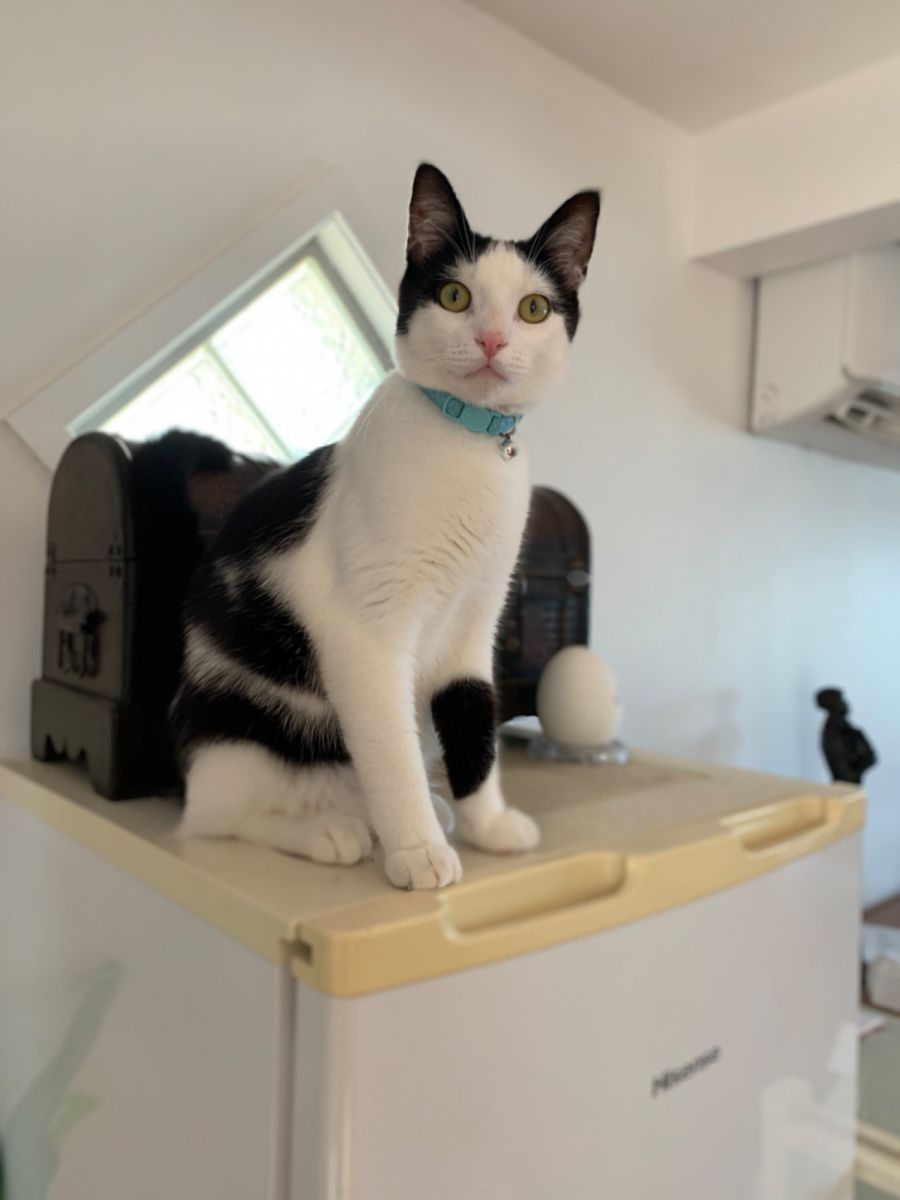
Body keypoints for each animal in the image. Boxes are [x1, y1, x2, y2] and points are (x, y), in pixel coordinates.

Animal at [172, 163, 600, 890]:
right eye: (455, 296)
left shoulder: (474, 624)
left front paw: (488, 826)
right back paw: (328, 831)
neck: (467, 443)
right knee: (218, 817)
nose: (492, 340)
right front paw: (419, 852)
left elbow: (474, 724)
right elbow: (393, 753)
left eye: (533, 309)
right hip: (242, 730)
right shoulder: (364, 635)